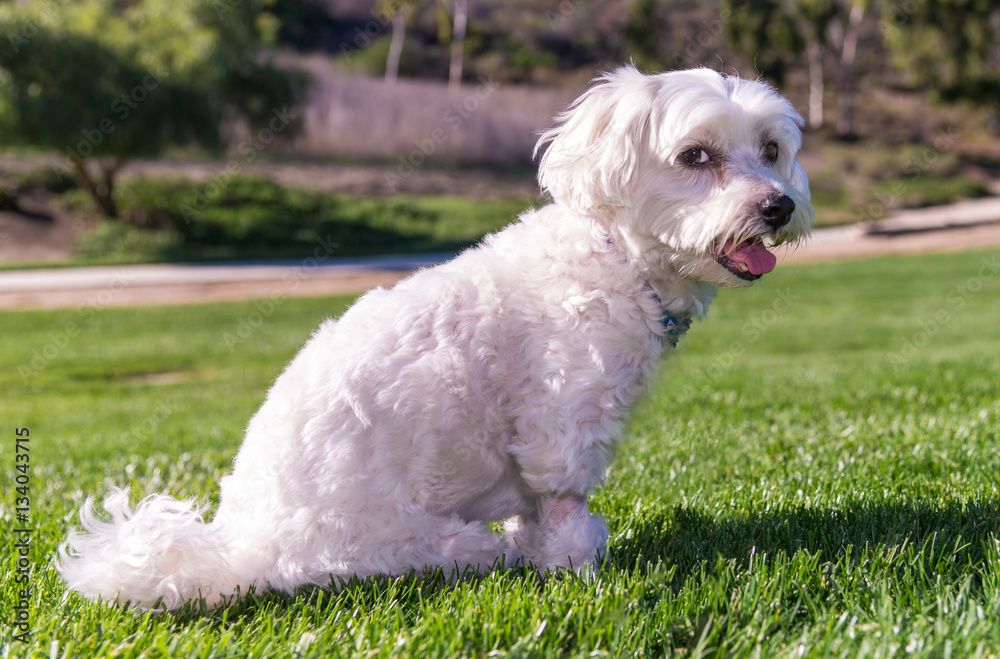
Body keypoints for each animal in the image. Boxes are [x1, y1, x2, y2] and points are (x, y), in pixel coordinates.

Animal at [58, 67, 812, 608]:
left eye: (771, 149)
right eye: (695, 155)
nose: (780, 204)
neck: (616, 257)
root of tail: (244, 546)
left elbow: (537, 511)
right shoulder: (561, 419)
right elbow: (564, 503)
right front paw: (575, 566)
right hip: (417, 543)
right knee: (468, 552)